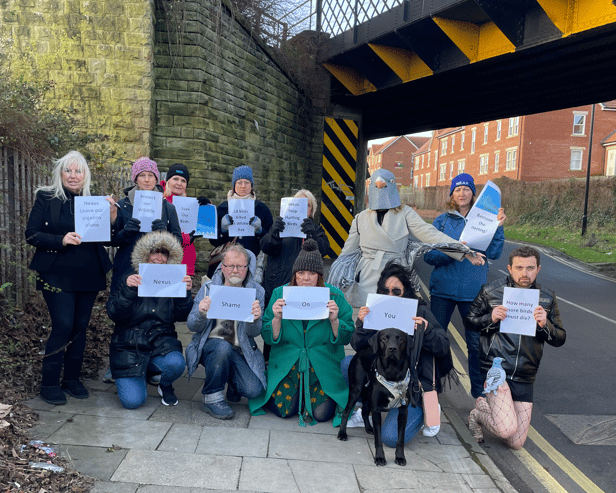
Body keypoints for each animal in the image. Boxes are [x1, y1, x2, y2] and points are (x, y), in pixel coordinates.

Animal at [336, 326, 414, 466]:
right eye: (384, 339)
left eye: (400, 339)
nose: (392, 348)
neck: (392, 372)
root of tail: (361, 351)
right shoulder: (377, 409)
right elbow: (378, 439)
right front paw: (379, 457)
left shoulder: (403, 411)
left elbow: (400, 438)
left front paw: (400, 457)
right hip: (356, 390)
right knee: (346, 411)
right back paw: (342, 433)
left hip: (367, 396)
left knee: (364, 412)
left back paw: (368, 427)